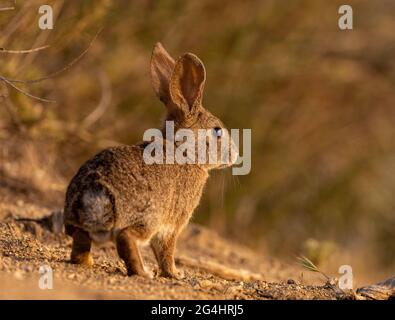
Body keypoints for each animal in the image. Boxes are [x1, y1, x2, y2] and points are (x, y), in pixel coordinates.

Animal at [63, 42, 240, 278]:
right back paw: (144, 272)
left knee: (80, 242)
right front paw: (175, 274)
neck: (184, 151)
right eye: (217, 131)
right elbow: (166, 251)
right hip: (147, 217)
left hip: (81, 225)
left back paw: (88, 262)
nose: (236, 154)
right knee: (126, 238)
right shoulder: (173, 224)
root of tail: (94, 193)